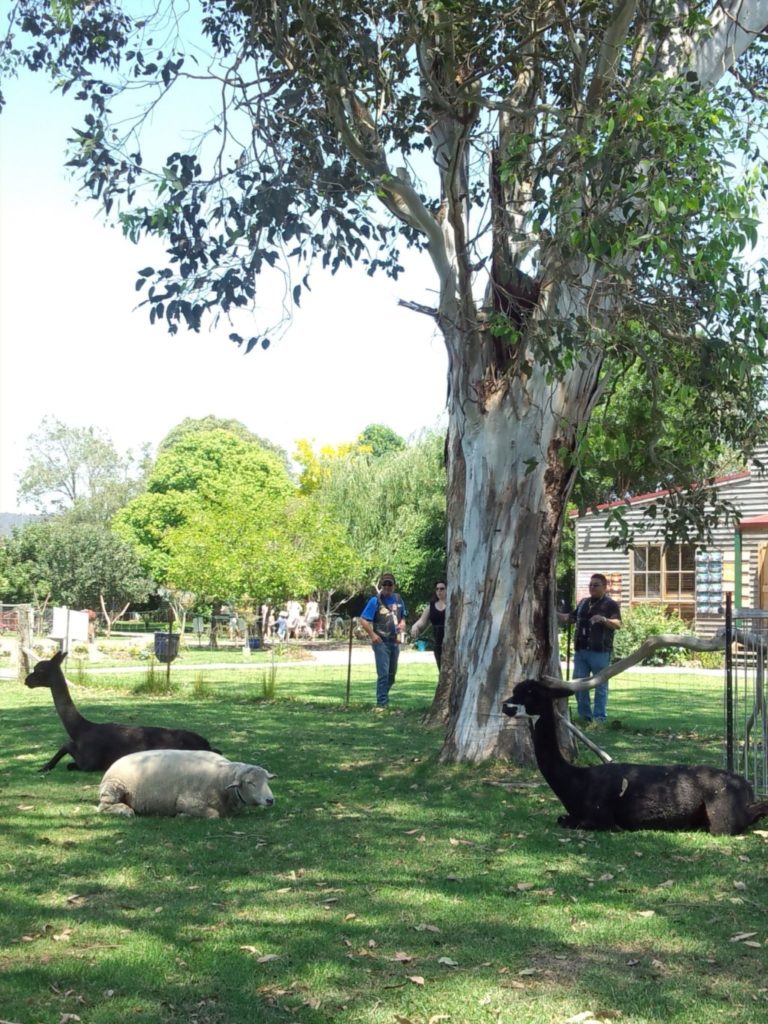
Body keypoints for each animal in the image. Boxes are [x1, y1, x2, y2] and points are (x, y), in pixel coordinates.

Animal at [96, 745, 276, 815]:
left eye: (267, 781)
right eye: (250, 783)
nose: (270, 800)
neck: (222, 776)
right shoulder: (187, 801)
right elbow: (213, 814)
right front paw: (183, 815)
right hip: (114, 786)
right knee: (103, 807)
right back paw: (125, 810)